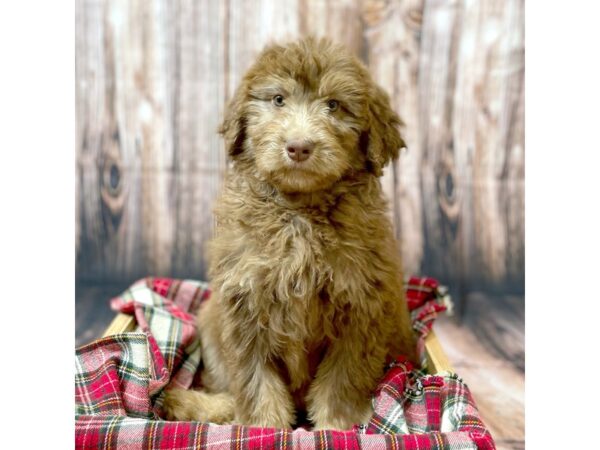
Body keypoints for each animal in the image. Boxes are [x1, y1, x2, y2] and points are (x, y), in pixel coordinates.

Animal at [164, 37, 418, 430]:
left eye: (334, 105)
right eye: (278, 100)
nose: (299, 147)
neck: (300, 212)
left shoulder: (361, 307)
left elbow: (342, 378)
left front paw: (334, 426)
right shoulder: (244, 303)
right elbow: (255, 382)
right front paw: (264, 428)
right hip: (210, 324)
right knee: (228, 393)